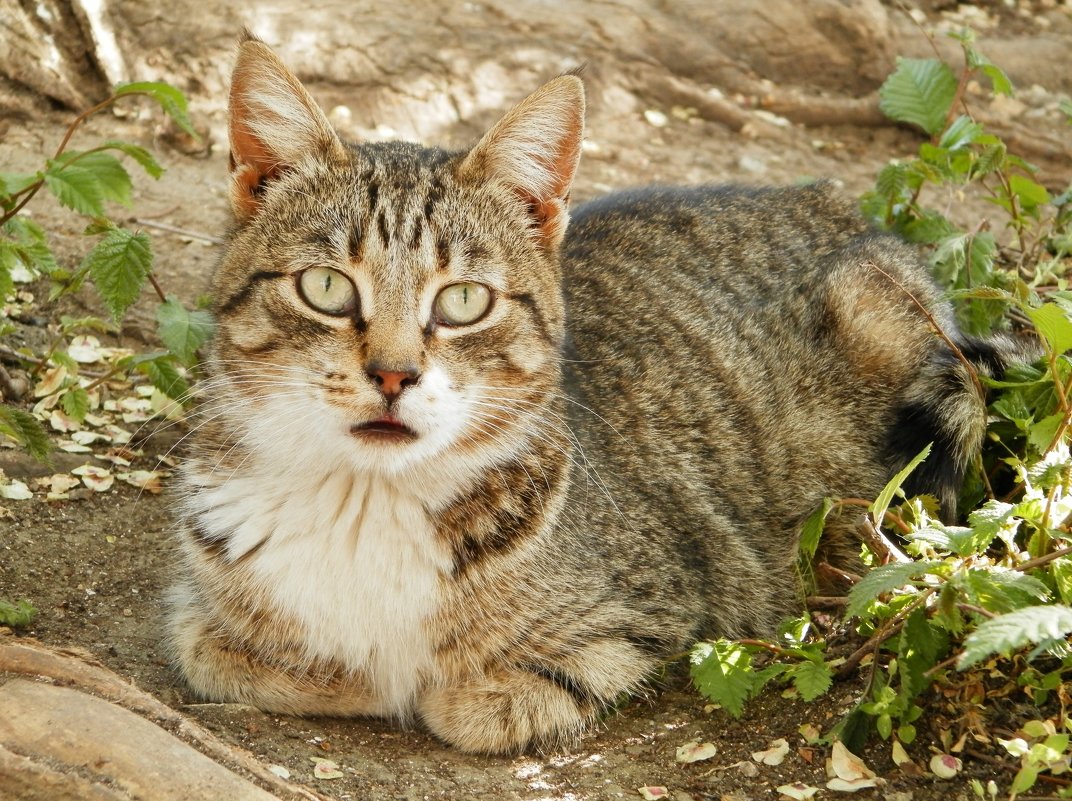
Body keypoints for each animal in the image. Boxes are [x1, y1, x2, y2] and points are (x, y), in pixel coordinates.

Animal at [167, 35, 1011, 750]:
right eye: (325, 287)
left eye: (464, 300)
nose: (394, 373)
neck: (365, 500)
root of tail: (847, 214)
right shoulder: (196, 614)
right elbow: (215, 651)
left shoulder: (657, 610)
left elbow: (473, 701)